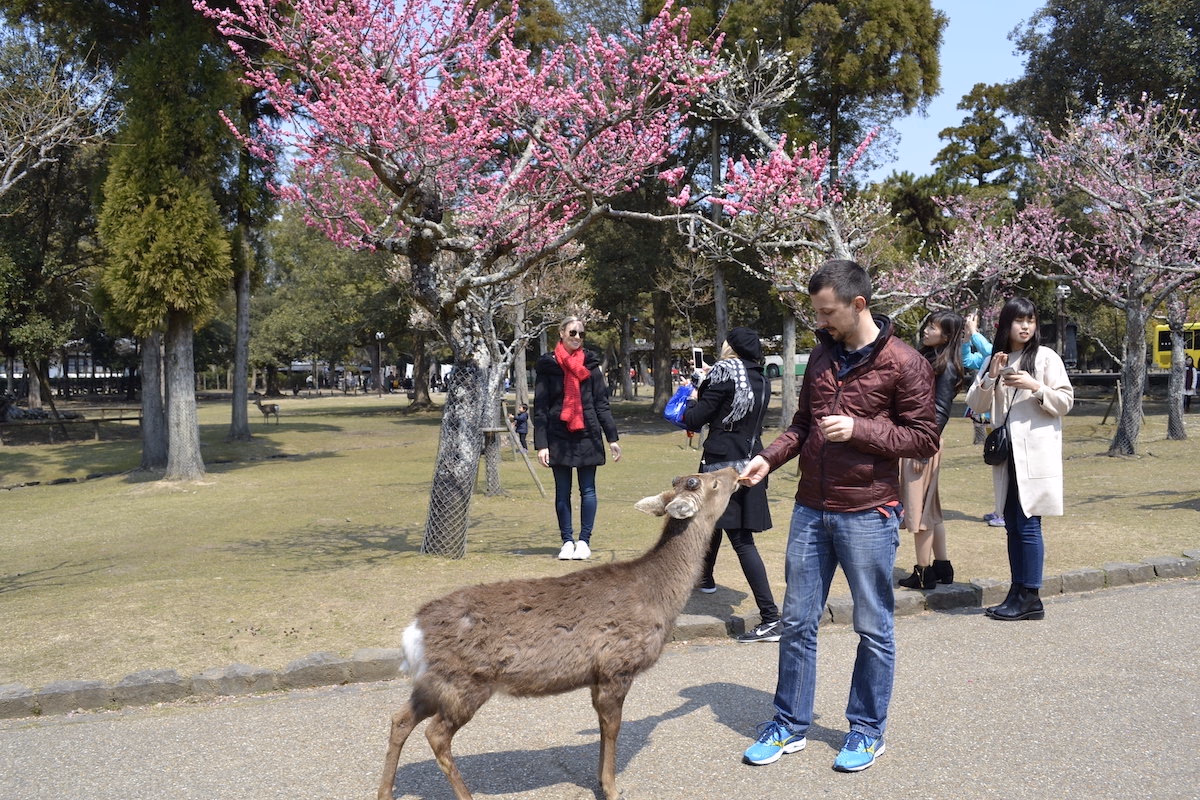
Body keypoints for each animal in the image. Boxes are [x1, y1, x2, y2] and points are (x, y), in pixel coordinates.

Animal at [377, 468, 743, 800]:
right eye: (707, 481)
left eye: (690, 477)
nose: (736, 470)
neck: (660, 598)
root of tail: (413, 633)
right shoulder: (617, 666)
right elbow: (614, 728)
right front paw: (612, 788)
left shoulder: (596, 674)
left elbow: (602, 727)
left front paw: (600, 780)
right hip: (466, 682)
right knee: (436, 734)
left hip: (434, 683)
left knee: (400, 719)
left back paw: (385, 792)